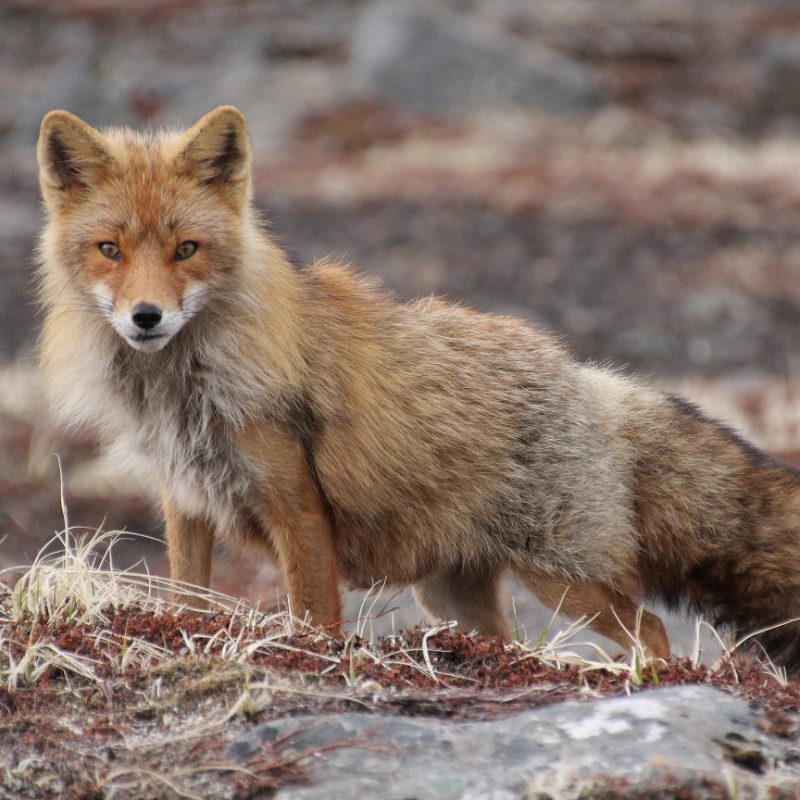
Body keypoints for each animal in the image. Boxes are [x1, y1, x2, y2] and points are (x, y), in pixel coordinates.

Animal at [35, 105, 800, 668]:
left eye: (186, 250)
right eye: (110, 250)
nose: (146, 317)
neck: (183, 389)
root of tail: (588, 379)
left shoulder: (297, 509)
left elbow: (315, 619)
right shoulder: (186, 502)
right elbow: (186, 604)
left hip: (564, 581)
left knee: (654, 631)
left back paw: (648, 682)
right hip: (453, 599)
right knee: (515, 644)